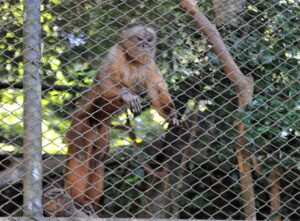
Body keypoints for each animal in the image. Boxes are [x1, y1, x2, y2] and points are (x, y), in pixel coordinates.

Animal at [63, 22, 178, 209]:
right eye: (139, 38)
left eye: (149, 39)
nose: (146, 45)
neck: (132, 60)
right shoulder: (115, 53)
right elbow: (104, 81)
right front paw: (127, 95)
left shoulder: (149, 63)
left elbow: (157, 91)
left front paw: (171, 114)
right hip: (81, 122)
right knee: (81, 152)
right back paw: (76, 200)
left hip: (102, 131)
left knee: (98, 159)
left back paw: (89, 202)